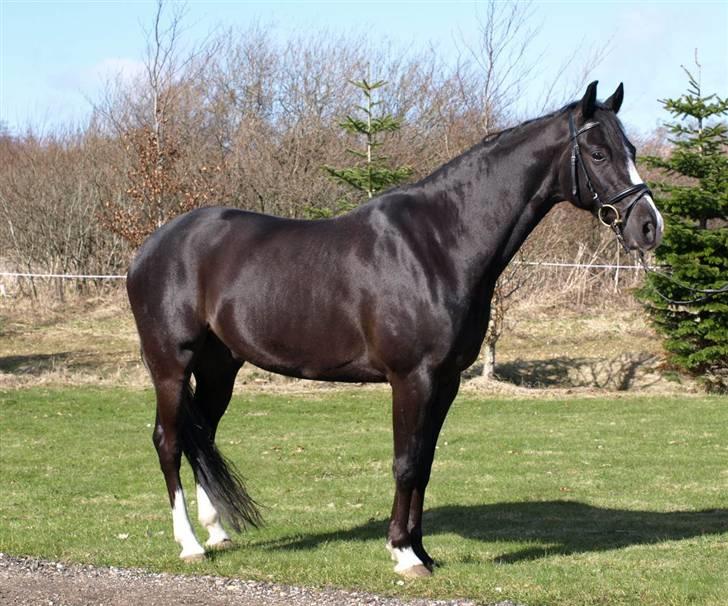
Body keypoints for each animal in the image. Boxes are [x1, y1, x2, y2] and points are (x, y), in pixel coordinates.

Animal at [126, 81, 663, 577]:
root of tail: (152, 247)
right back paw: (190, 544)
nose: (649, 226)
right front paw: (404, 555)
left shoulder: (445, 380)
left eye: (632, 151)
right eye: (598, 152)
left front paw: (420, 550)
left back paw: (216, 532)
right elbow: (405, 462)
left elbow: (423, 463)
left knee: (203, 436)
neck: (439, 243)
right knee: (169, 441)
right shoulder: (412, 378)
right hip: (171, 365)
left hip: (220, 367)